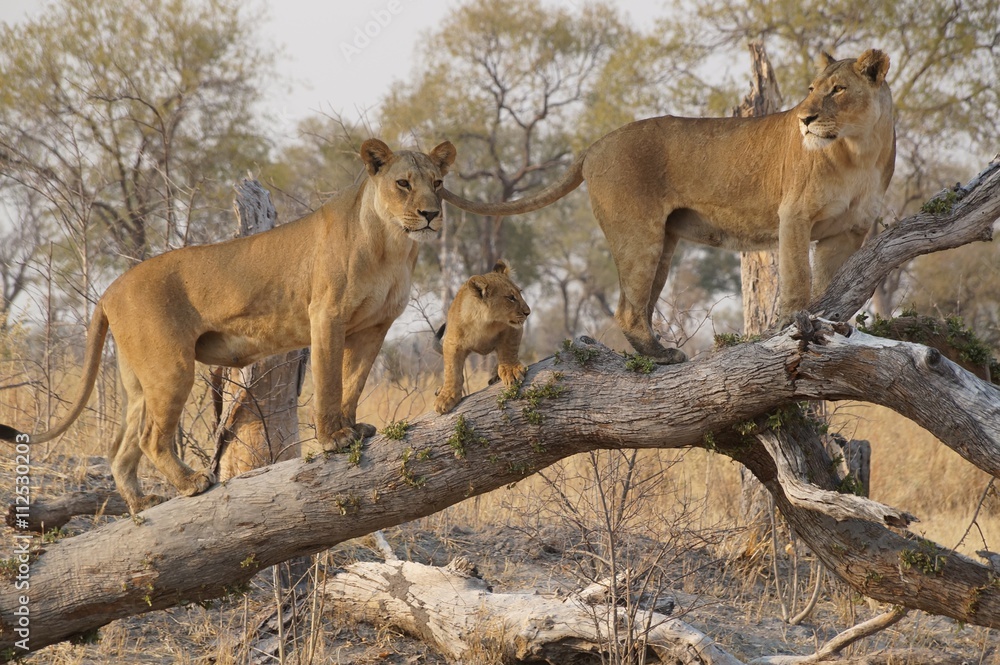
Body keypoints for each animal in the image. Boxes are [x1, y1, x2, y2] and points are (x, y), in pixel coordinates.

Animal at [0, 138, 457, 515]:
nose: (432, 214)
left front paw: (353, 427)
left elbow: (354, 382)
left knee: (121, 447)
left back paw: (141, 503)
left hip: (138, 380)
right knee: (150, 438)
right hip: (171, 368)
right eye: (403, 183)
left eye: (437, 183)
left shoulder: (374, 328)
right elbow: (329, 382)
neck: (391, 244)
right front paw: (333, 439)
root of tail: (110, 289)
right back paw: (191, 482)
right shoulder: (326, 315)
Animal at [434, 260, 531, 414]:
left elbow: (508, 351)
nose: (528, 312)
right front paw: (446, 396)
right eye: (510, 298)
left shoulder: (512, 329)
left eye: (520, 293)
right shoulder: (452, 343)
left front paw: (510, 370)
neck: (485, 324)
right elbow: (451, 370)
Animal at [441, 50, 895, 364]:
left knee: (639, 305)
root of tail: (594, 146)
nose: (804, 118)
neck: (858, 151)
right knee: (627, 309)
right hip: (638, 235)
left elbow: (830, 283)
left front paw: (828, 324)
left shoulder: (848, 230)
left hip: (664, 242)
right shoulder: (794, 215)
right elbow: (798, 278)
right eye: (811, 90)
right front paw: (789, 325)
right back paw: (662, 355)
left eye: (838, 89)